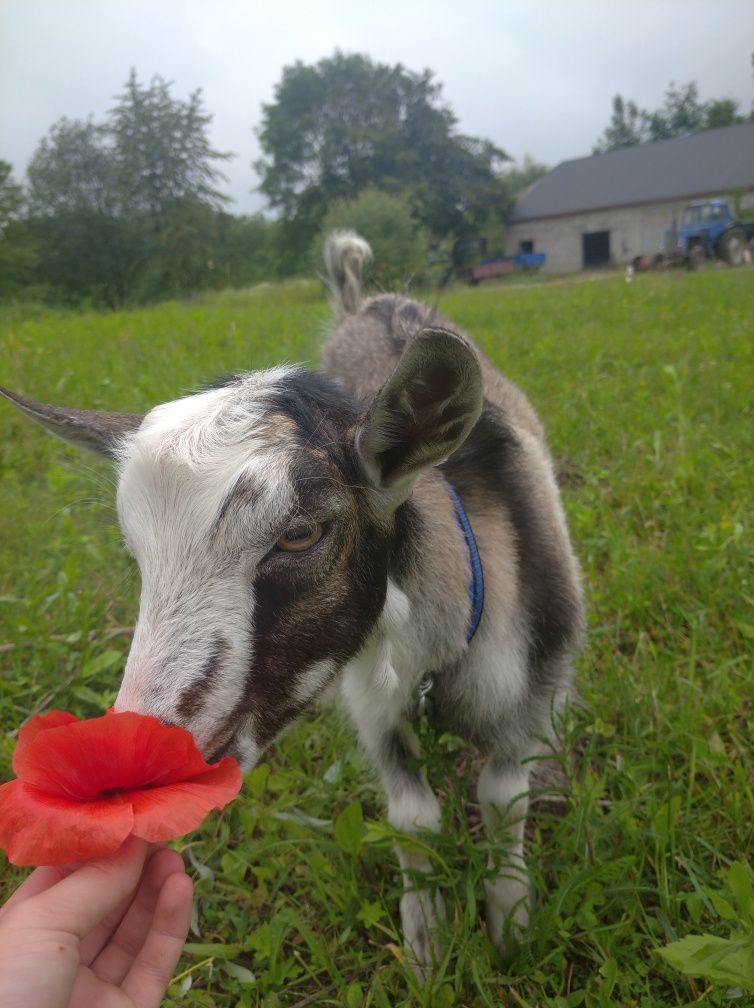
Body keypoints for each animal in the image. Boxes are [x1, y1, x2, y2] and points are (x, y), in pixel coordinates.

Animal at [0, 231, 584, 971]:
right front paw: (427, 942)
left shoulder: (528, 693)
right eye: (136, 554)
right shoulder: (376, 706)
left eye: (301, 532)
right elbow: (414, 817)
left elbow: (504, 801)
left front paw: (512, 929)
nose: (139, 770)